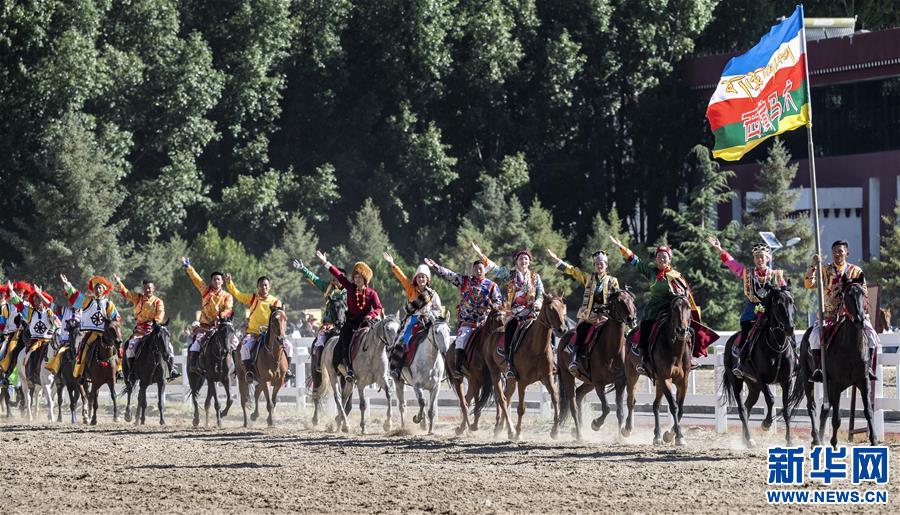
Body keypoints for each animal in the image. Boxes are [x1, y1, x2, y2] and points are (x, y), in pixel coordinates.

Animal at [502, 296, 568, 442]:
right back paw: (508, 430)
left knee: (507, 398)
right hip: (512, 378)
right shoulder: (522, 382)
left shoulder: (548, 378)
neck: (536, 348)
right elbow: (521, 408)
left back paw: (503, 429)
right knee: (505, 399)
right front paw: (518, 433)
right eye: (551, 309)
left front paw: (555, 431)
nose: (562, 330)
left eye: (563, 308)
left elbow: (555, 399)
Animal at [560, 288, 636, 442]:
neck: (611, 350)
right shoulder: (599, 383)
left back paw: (578, 430)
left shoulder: (620, 382)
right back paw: (579, 434)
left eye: (632, 300)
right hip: (568, 375)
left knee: (579, 394)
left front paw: (620, 437)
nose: (631, 319)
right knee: (572, 404)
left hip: (589, 382)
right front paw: (596, 424)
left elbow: (620, 411)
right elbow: (606, 408)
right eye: (618, 301)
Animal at [624, 296, 696, 446]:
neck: (675, 351)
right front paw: (679, 436)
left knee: (655, 405)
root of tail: (630, 333)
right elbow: (674, 406)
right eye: (674, 308)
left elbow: (680, 408)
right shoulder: (665, 378)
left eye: (688, 307)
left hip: (658, 381)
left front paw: (669, 435)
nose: (682, 330)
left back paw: (657, 435)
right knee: (631, 400)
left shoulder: (683, 381)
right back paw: (627, 429)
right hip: (632, 374)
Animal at [720, 286, 800, 448]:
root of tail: (730, 341)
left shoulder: (787, 380)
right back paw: (750, 439)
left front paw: (789, 440)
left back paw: (745, 439)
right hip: (737, 381)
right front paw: (766, 423)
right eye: (777, 303)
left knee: (747, 406)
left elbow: (786, 408)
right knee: (742, 409)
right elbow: (770, 399)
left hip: (753, 386)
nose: (790, 328)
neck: (777, 346)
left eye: (791, 301)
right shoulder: (761, 379)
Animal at [788, 276, 880, 450]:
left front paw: (874, 440)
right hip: (809, 379)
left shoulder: (863, 381)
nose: (859, 320)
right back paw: (816, 438)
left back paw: (820, 437)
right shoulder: (836, 384)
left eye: (863, 294)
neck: (851, 347)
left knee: (824, 408)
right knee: (812, 407)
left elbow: (868, 411)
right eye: (847, 296)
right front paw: (834, 443)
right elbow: (836, 418)